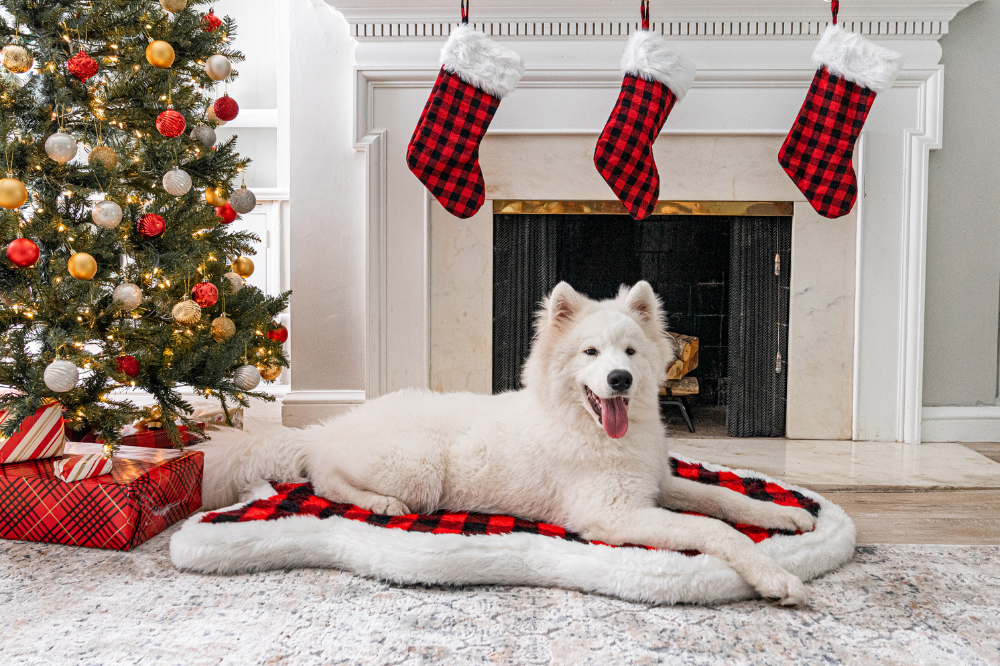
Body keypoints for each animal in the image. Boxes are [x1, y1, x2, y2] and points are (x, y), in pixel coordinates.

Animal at [199, 278, 816, 600]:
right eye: (590, 353)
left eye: (630, 352)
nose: (620, 379)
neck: (589, 427)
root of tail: (329, 427)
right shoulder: (612, 516)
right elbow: (714, 530)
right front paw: (776, 577)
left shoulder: (657, 485)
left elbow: (723, 498)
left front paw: (787, 515)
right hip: (418, 470)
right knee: (325, 479)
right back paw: (382, 503)